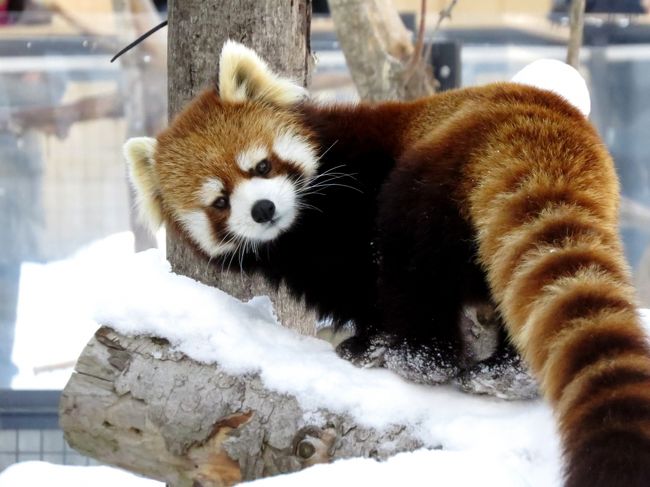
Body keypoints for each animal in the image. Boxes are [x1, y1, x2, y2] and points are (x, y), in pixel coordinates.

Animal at [123, 42, 648, 487]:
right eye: (219, 202)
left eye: (262, 167)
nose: (263, 209)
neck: (299, 231)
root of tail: (535, 129)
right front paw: (366, 335)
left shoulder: (354, 189)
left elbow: (365, 279)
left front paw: (369, 343)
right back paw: (505, 372)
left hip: (431, 179)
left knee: (413, 261)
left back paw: (418, 359)